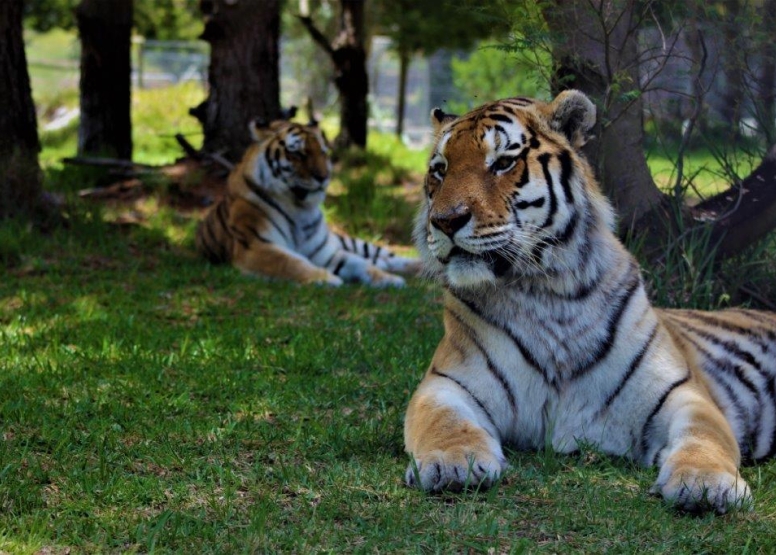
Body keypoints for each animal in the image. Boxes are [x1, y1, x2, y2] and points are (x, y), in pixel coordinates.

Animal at [197, 120, 422, 288]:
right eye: (298, 153)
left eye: (323, 152)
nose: (324, 177)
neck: (299, 207)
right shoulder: (256, 246)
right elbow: (291, 262)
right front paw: (326, 278)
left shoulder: (325, 251)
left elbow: (361, 263)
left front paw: (389, 279)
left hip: (351, 241)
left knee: (387, 256)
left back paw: (416, 267)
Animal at [400, 89, 776, 516]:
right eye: (440, 170)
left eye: (503, 163)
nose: (445, 221)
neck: (546, 291)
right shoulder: (445, 383)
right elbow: (444, 422)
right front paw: (452, 462)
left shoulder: (683, 393)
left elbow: (705, 436)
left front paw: (706, 482)